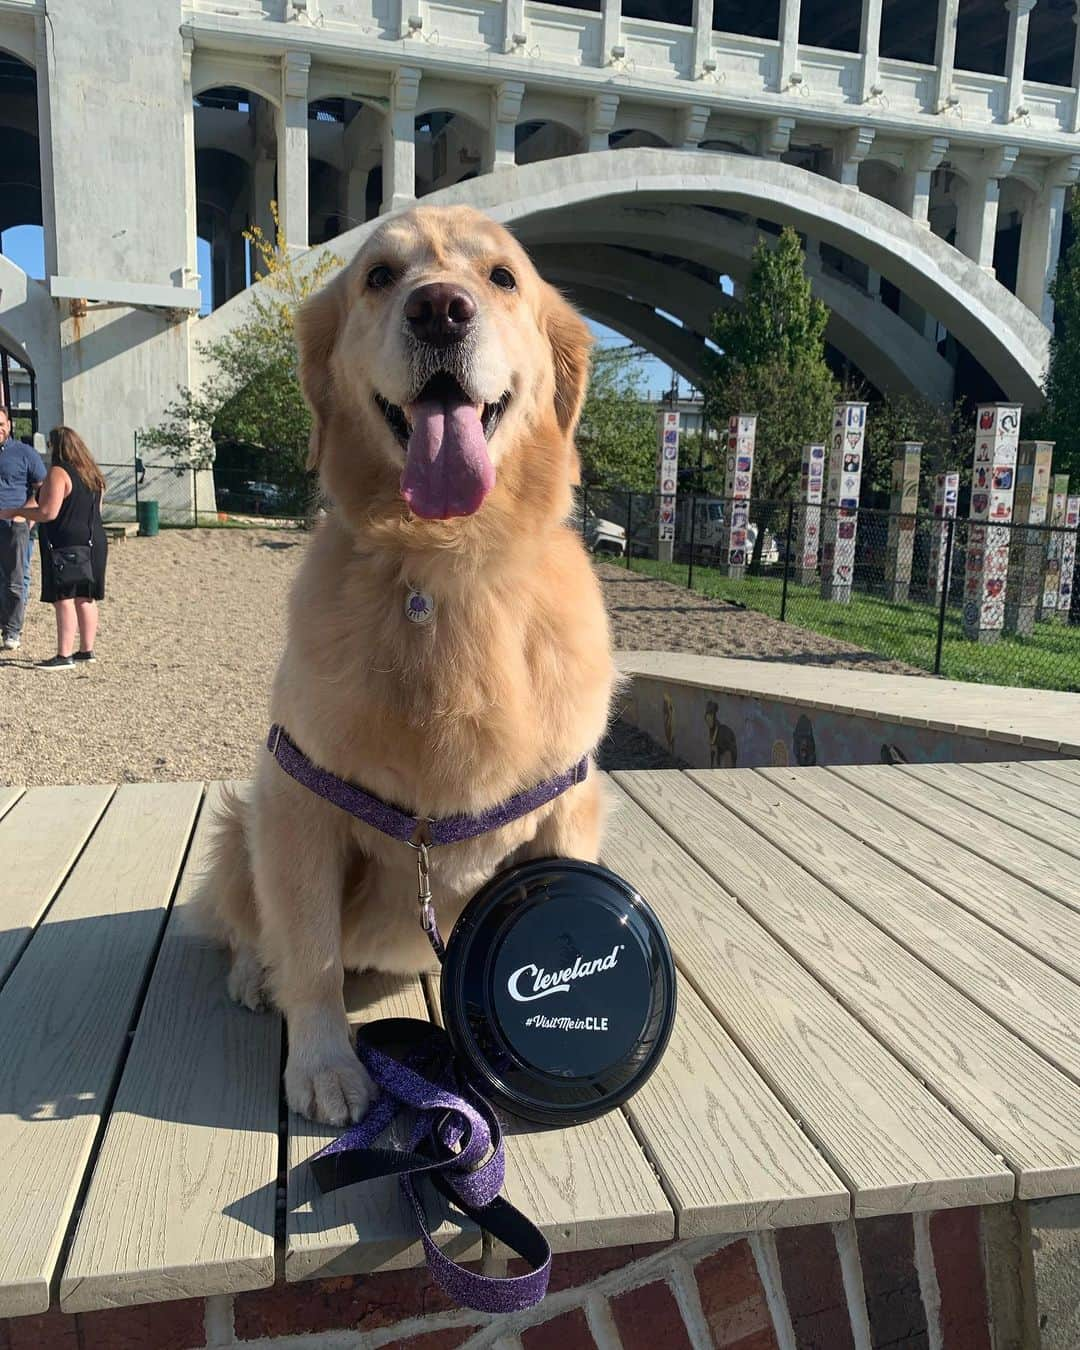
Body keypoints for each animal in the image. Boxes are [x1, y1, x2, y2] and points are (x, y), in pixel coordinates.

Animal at [201, 202, 615, 1128]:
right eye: (380, 277)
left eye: (502, 277)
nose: (440, 310)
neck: (446, 565)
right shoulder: (299, 802)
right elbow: (310, 954)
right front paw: (325, 1066)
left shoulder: (569, 805)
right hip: (243, 824)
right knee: (244, 926)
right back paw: (251, 977)